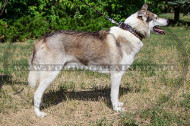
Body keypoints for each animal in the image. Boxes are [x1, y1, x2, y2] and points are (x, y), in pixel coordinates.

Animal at [27, 3, 168, 117]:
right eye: (156, 17)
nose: (169, 20)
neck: (131, 31)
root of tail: (44, 37)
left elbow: (116, 96)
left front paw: (118, 105)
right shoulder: (116, 74)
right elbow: (114, 95)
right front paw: (116, 109)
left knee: (40, 92)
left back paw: (42, 105)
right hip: (51, 73)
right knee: (36, 93)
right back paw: (38, 113)